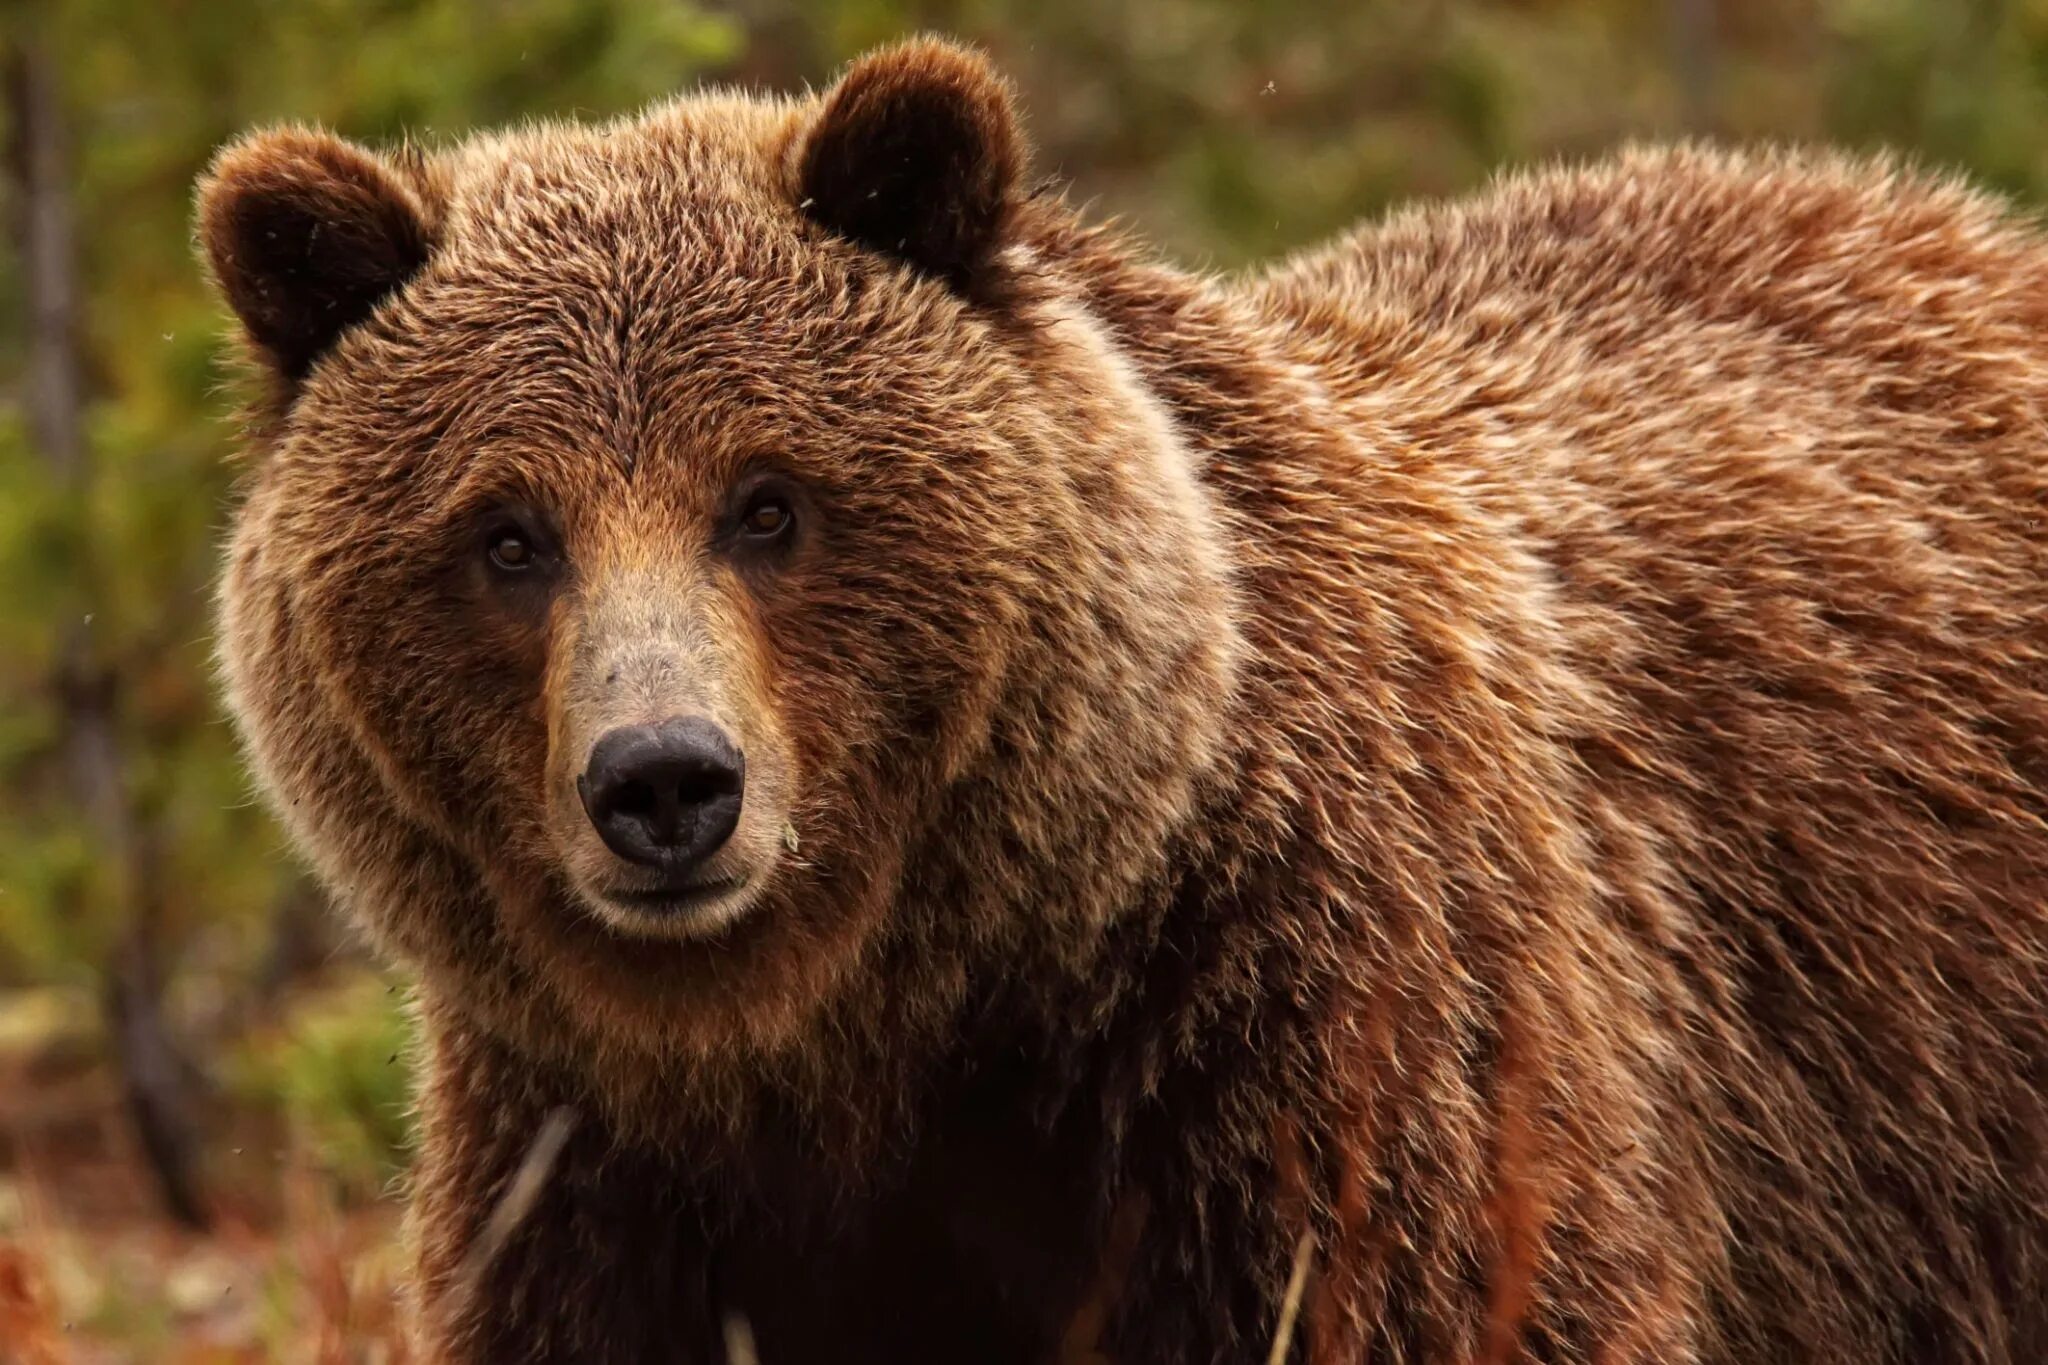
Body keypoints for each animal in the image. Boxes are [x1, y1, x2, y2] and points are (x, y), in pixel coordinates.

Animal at [199, 37, 2048, 1365]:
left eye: (768, 501)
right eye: (507, 533)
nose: (664, 782)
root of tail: (1945, 213)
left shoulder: (1322, 1051)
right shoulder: (598, 1172)